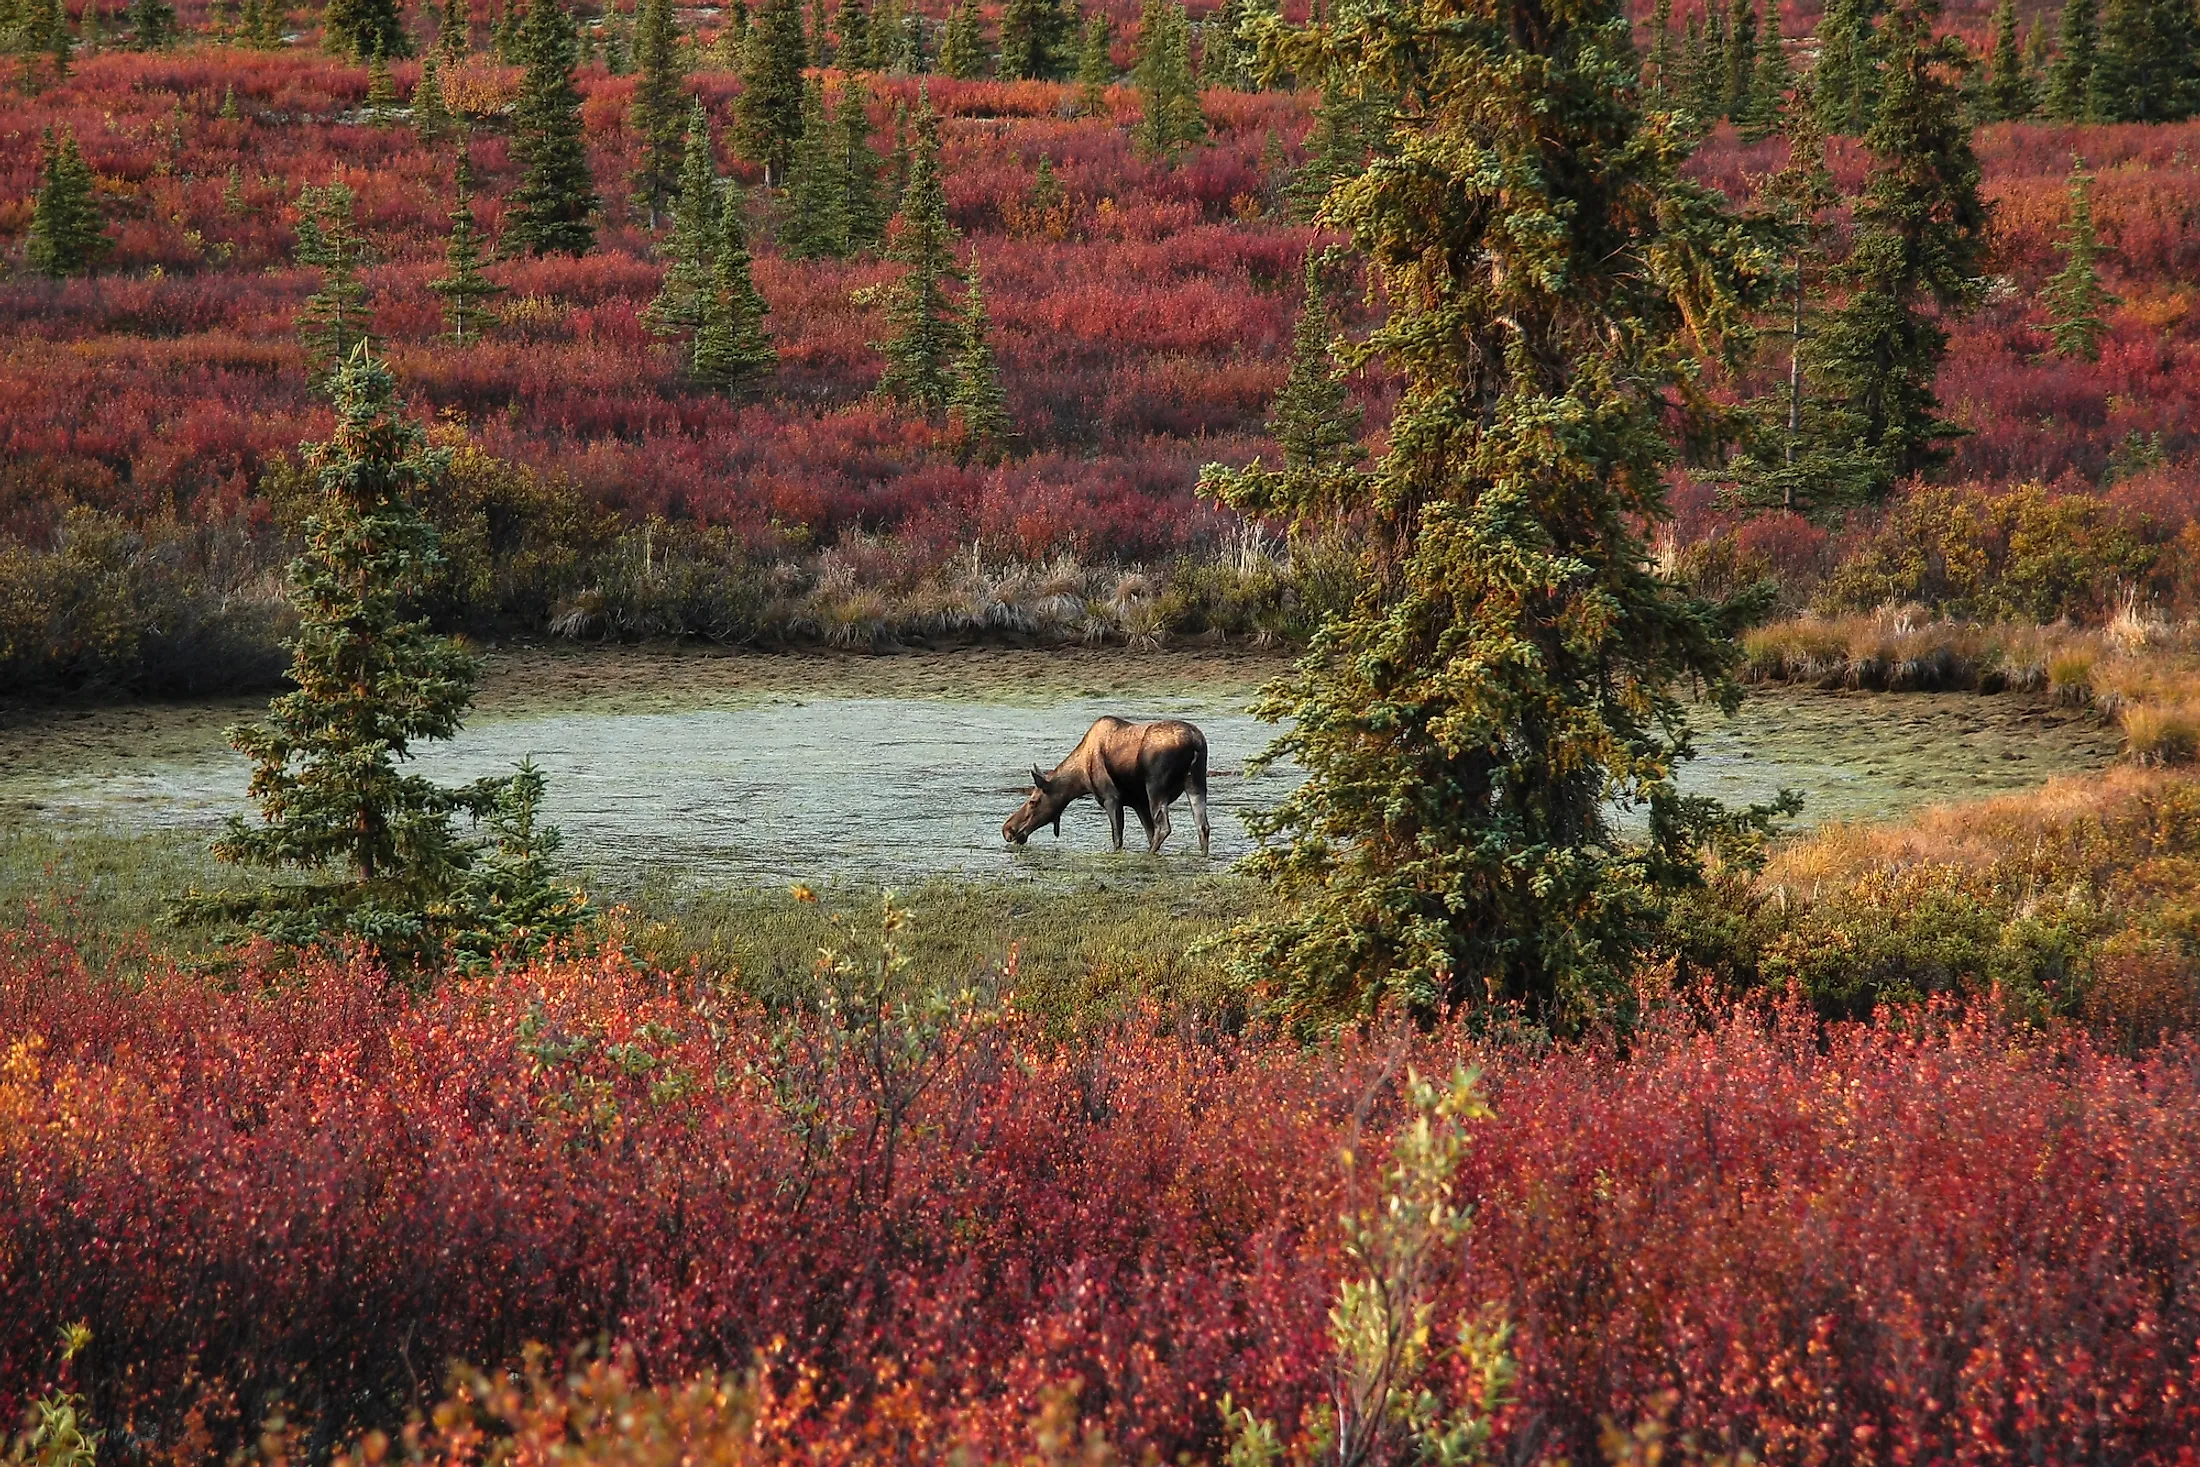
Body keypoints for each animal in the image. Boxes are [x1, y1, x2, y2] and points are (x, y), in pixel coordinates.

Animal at [1007, 717, 1214, 853]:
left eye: (1033, 801)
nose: (1008, 829)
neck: (1080, 778)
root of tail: (1195, 742)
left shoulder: (1111, 798)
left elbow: (1117, 838)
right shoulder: (1139, 803)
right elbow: (1147, 832)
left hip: (1156, 787)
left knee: (1164, 828)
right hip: (1196, 782)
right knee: (1202, 826)